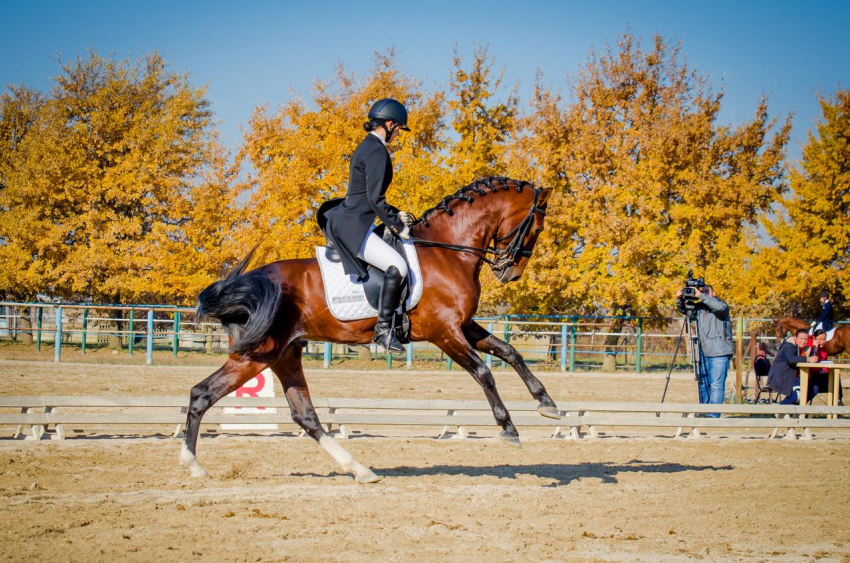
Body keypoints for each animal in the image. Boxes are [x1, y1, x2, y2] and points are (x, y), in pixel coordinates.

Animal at [181, 177, 556, 484]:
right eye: (536, 229)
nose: (510, 273)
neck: (447, 251)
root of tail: (257, 280)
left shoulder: (463, 325)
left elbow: (510, 352)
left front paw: (546, 403)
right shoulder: (444, 331)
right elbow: (483, 373)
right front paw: (509, 429)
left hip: (284, 354)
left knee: (303, 415)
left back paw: (360, 470)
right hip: (258, 355)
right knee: (203, 393)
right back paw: (193, 466)